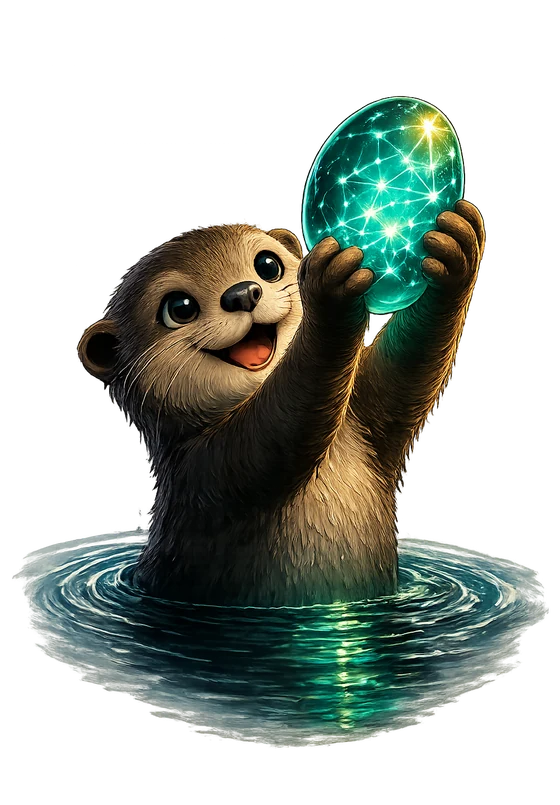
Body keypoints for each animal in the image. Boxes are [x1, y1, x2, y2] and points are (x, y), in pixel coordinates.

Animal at [76, 201, 485, 606]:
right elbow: (275, 434)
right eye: (179, 307)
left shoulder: (368, 422)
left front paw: (457, 248)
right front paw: (330, 293)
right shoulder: (210, 471)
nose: (242, 293)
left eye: (268, 265)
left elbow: (402, 377)